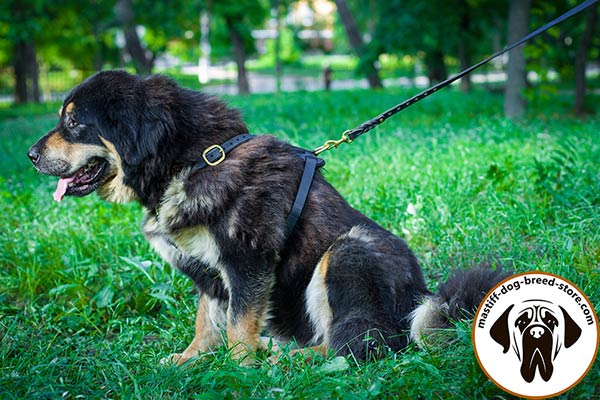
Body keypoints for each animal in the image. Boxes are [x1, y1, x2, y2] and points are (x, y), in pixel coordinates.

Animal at [28, 70, 506, 364]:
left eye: (74, 124)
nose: (31, 155)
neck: (194, 160)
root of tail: (421, 297)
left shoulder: (247, 259)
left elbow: (239, 326)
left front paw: (238, 369)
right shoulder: (209, 272)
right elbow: (206, 321)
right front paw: (191, 359)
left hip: (348, 249)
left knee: (360, 343)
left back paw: (288, 358)